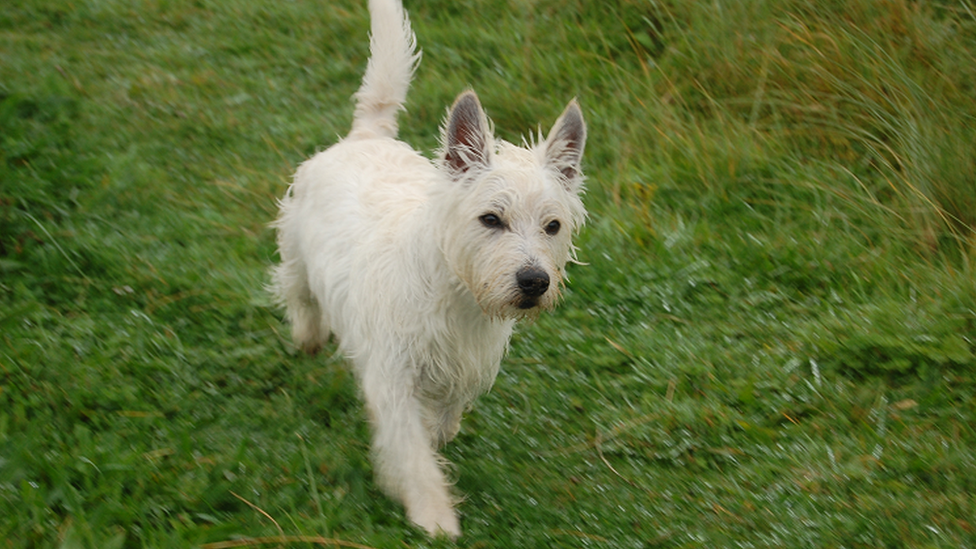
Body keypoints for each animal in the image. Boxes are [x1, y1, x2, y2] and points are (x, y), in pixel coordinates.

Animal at [270, 0, 584, 536]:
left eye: (553, 225)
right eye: (491, 218)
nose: (534, 282)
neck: (455, 296)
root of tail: (366, 133)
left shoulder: (460, 372)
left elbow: (438, 424)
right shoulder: (392, 378)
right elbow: (413, 451)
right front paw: (433, 513)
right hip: (295, 249)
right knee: (299, 294)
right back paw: (308, 336)